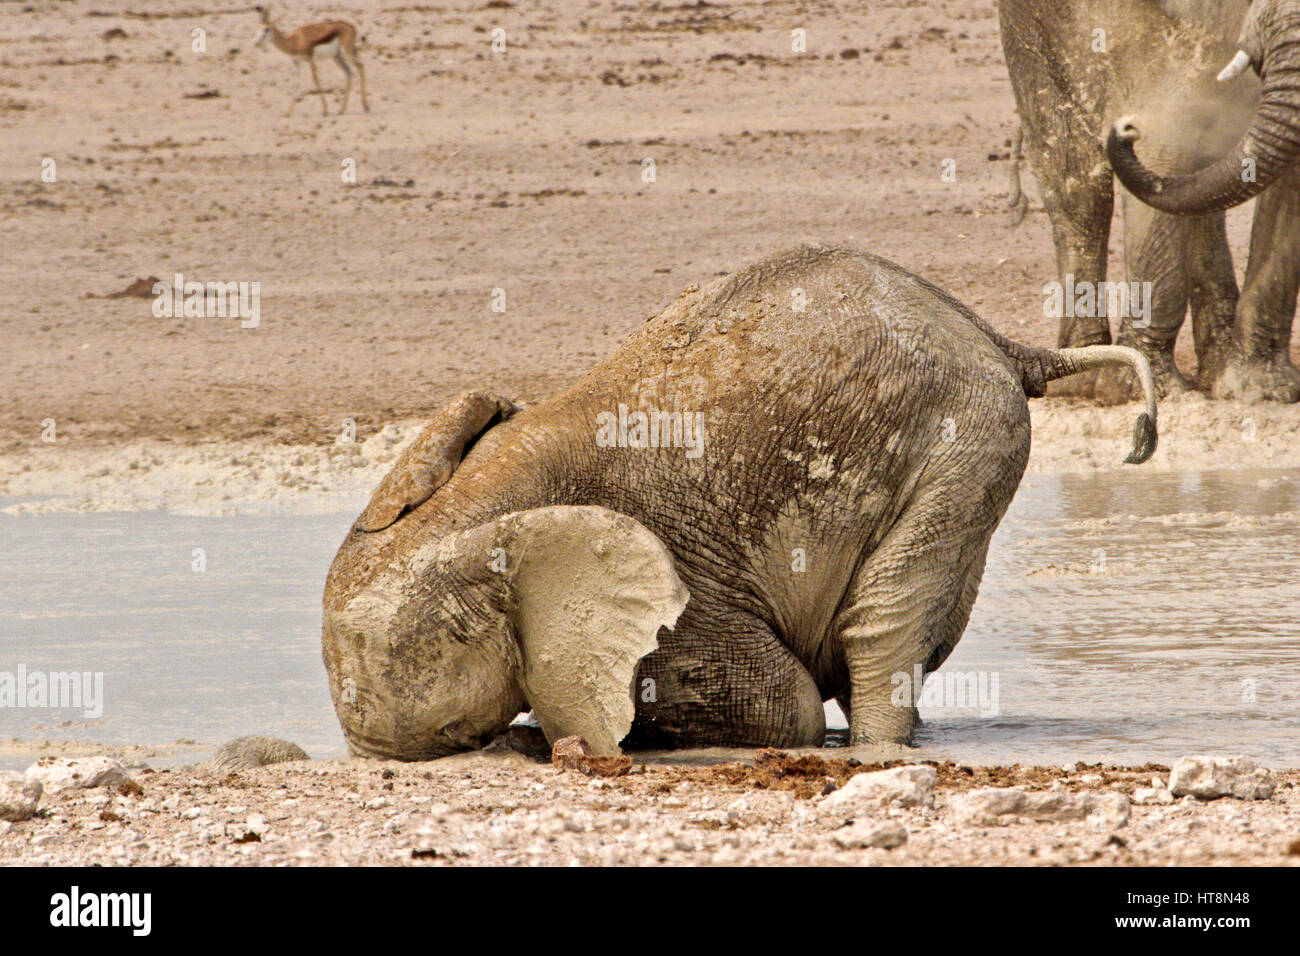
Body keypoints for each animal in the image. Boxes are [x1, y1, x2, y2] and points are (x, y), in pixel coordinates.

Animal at [321, 245, 1157, 760]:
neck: (477, 510)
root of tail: (996, 338)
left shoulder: (685, 596)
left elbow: (784, 707)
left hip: (969, 431)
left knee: (883, 623)